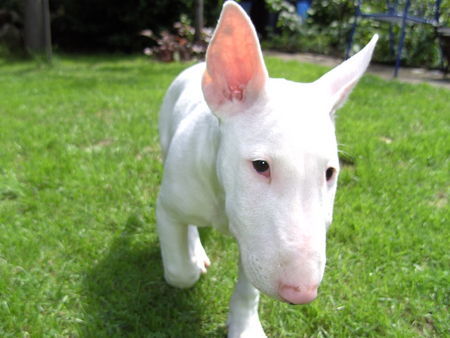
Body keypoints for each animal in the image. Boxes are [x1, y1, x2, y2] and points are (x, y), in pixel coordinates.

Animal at [156, 1, 378, 336]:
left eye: (329, 173)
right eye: (261, 165)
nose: (302, 293)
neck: (224, 202)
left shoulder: (255, 243)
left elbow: (249, 287)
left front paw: (245, 326)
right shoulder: (168, 206)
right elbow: (180, 272)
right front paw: (192, 262)